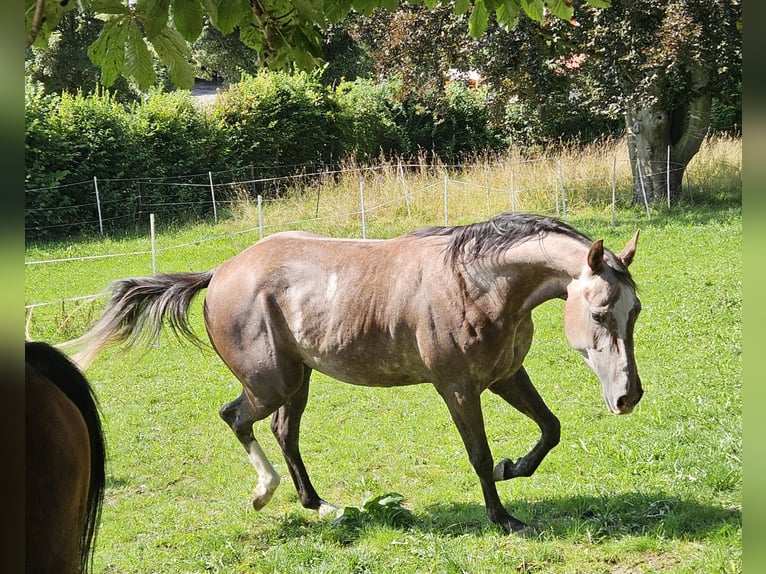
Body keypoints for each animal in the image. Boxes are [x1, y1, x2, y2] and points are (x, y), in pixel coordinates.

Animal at [61, 212, 642, 535]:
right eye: (599, 313)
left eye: (635, 310)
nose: (628, 397)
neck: (476, 281)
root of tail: (219, 272)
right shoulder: (457, 388)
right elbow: (477, 454)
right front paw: (503, 518)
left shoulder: (505, 375)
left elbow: (550, 429)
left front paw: (511, 467)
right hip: (270, 382)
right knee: (236, 417)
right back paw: (264, 493)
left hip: (297, 381)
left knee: (284, 432)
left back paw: (320, 506)